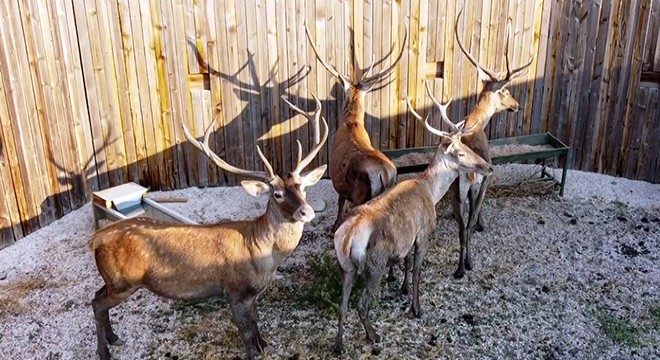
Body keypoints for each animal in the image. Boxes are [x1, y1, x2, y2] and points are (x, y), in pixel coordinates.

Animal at [89, 98, 330, 360]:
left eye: (303, 188)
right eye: (277, 194)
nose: (306, 212)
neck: (262, 255)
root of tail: (95, 238)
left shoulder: (252, 295)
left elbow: (257, 324)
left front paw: (264, 345)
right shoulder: (235, 292)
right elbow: (247, 332)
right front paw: (253, 352)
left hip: (114, 280)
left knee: (96, 296)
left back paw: (113, 338)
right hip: (124, 281)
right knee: (97, 303)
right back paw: (104, 351)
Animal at [304, 23, 408, 231]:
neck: (352, 122)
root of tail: (384, 174)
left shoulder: (340, 184)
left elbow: (339, 202)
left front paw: (334, 226)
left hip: (362, 195)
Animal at [332, 100, 492, 352]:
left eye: (467, 147)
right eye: (460, 152)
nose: (488, 166)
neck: (430, 191)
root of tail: (347, 239)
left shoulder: (407, 238)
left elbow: (406, 264)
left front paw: (403, 289)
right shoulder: (424, 233)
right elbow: (417, 271)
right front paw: (417, 308)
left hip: (345, 266)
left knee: (342, 304)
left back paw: (339, 345)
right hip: (374, 264)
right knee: (361, 303)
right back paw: (373, 336)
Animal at [448, 9, 536, 278]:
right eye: (506, 91)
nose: (516, 105)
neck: (478, 124)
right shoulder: (487, 178)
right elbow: (477, 211)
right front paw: (482, 224)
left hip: (455, 190)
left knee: (460, 225)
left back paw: (460, 267)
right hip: (472, 184)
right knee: (466, 225)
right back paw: (466, 264)